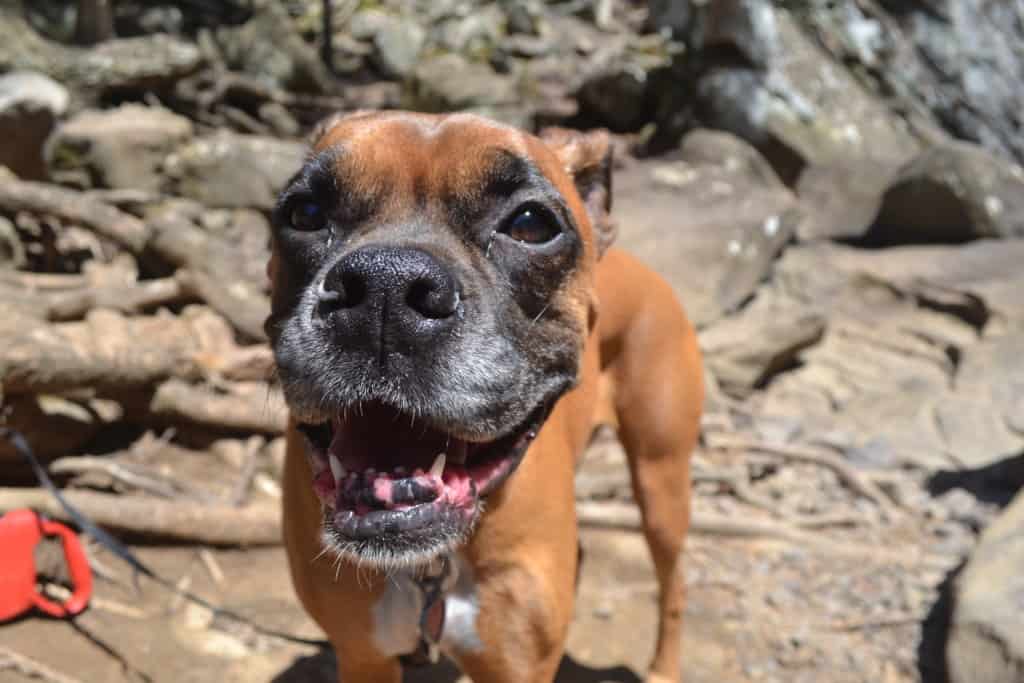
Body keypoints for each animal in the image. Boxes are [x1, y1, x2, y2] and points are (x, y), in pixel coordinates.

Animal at [266, 112, 704, 683]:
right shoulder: (363, 656)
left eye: (530, 224)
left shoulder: (516, 669)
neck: (434, 566)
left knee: (673, 583)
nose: (386, 283)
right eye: (306, 213)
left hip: (661, 483)